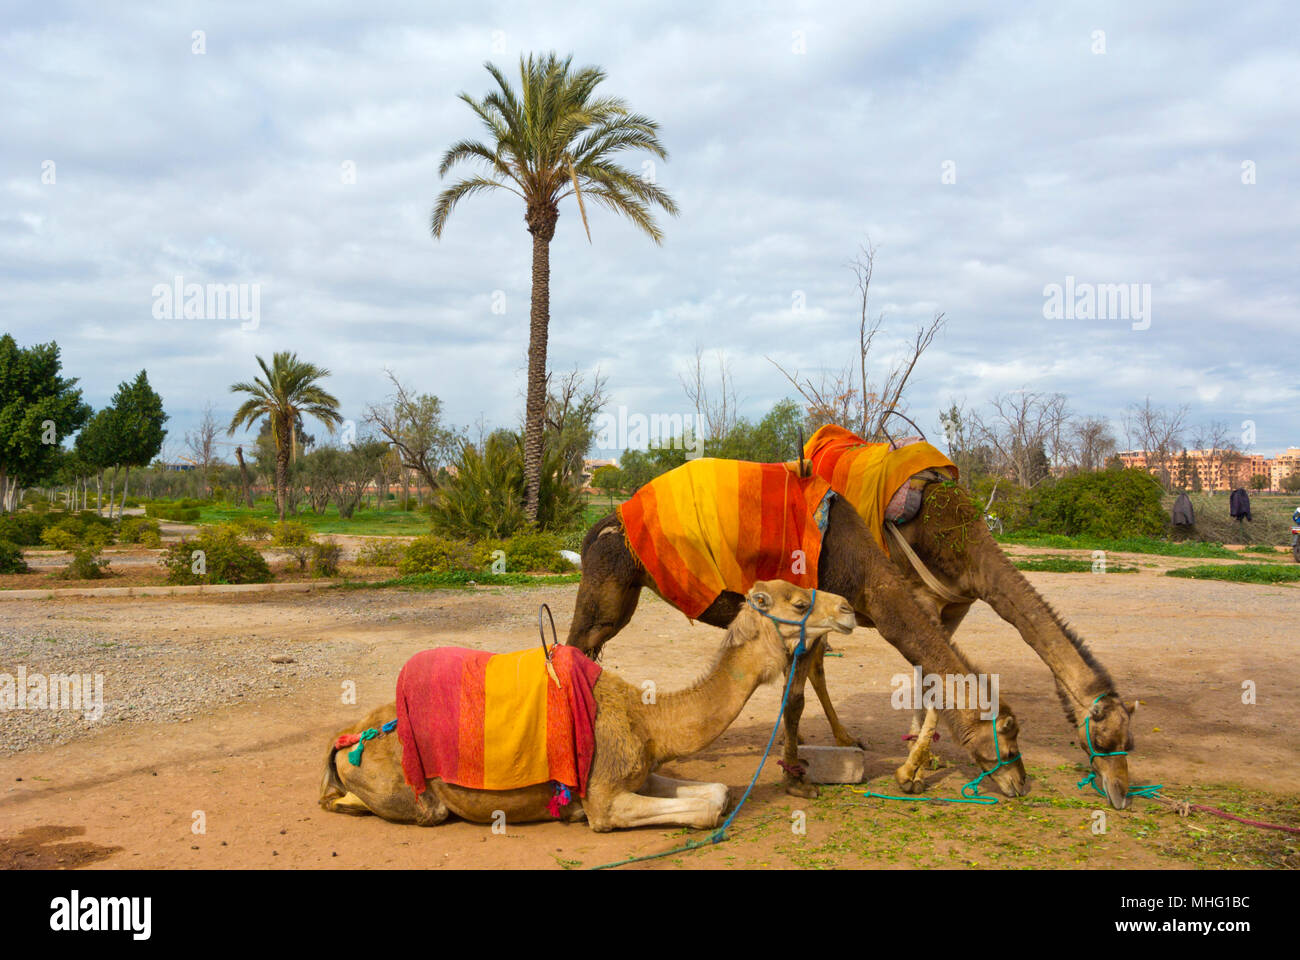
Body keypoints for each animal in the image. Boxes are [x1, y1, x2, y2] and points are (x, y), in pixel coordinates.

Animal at [319, 574, 857, 832]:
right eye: (798, 603)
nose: (849, 609)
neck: (650, 719)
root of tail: (350, 738)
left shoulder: (640, 770)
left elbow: (718, 793)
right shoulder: (604, 798)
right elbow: (705, 811)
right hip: (410, 792)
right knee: (417, 808)